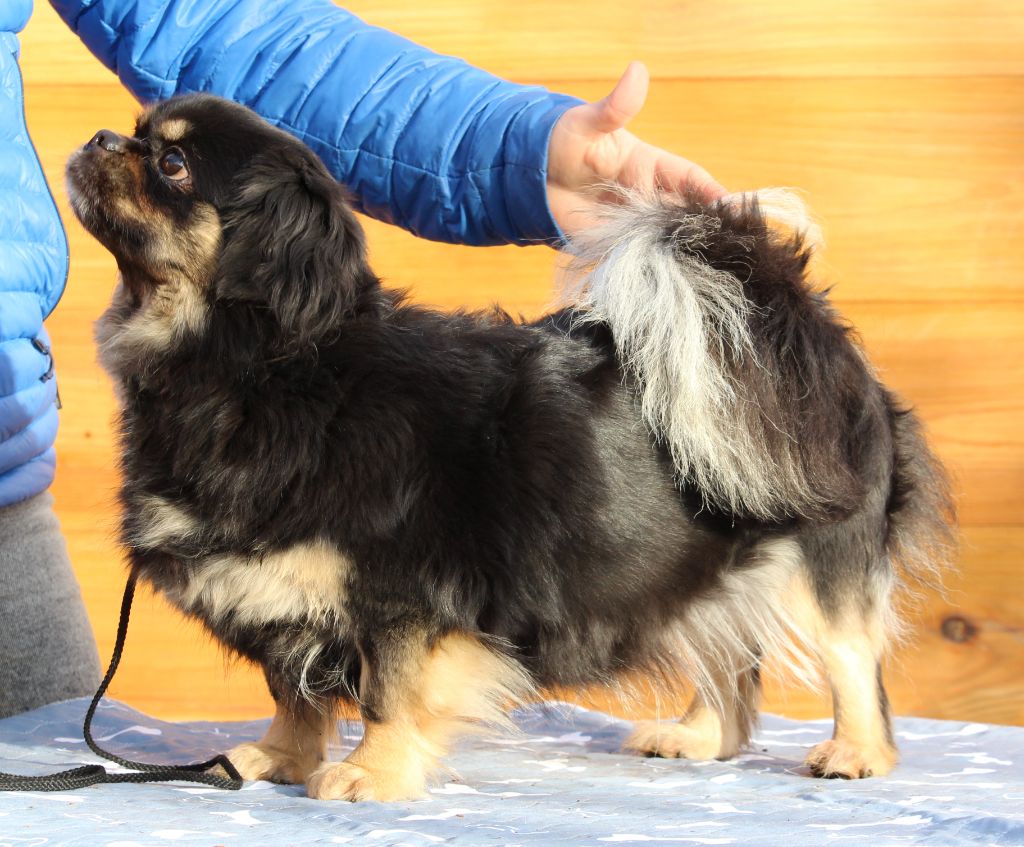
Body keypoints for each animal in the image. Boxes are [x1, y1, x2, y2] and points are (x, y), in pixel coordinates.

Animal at [68, 92, 954, 802]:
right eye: (140, 136)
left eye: (173, 163)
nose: (103, 137)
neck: (272, 367)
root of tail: (794, 318)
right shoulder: (287, 598)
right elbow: (296, 692)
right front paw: (278, 759)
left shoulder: (402, 599)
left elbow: (386, 693)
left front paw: (368, 775)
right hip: (707, 571)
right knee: (729, 666)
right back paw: (698, 736)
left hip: (821, 560)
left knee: (852, 661)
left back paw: (855, 753)